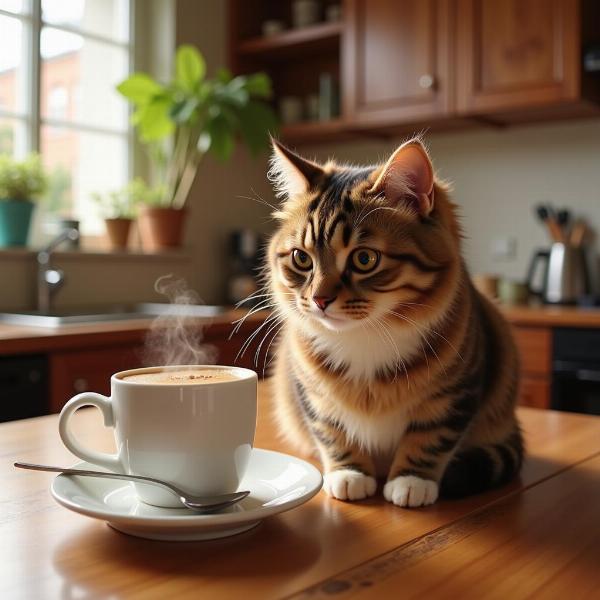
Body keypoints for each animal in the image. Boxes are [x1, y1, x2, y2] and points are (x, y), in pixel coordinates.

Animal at [264, 137, 524, 506]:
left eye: (364, 259)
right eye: (302, 258)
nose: (319, 300)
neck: (366, 334)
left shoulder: (456, 390)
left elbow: (430, 437)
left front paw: (411, 482)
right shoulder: (310, 391)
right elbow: (331, 430)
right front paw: (349, 475)